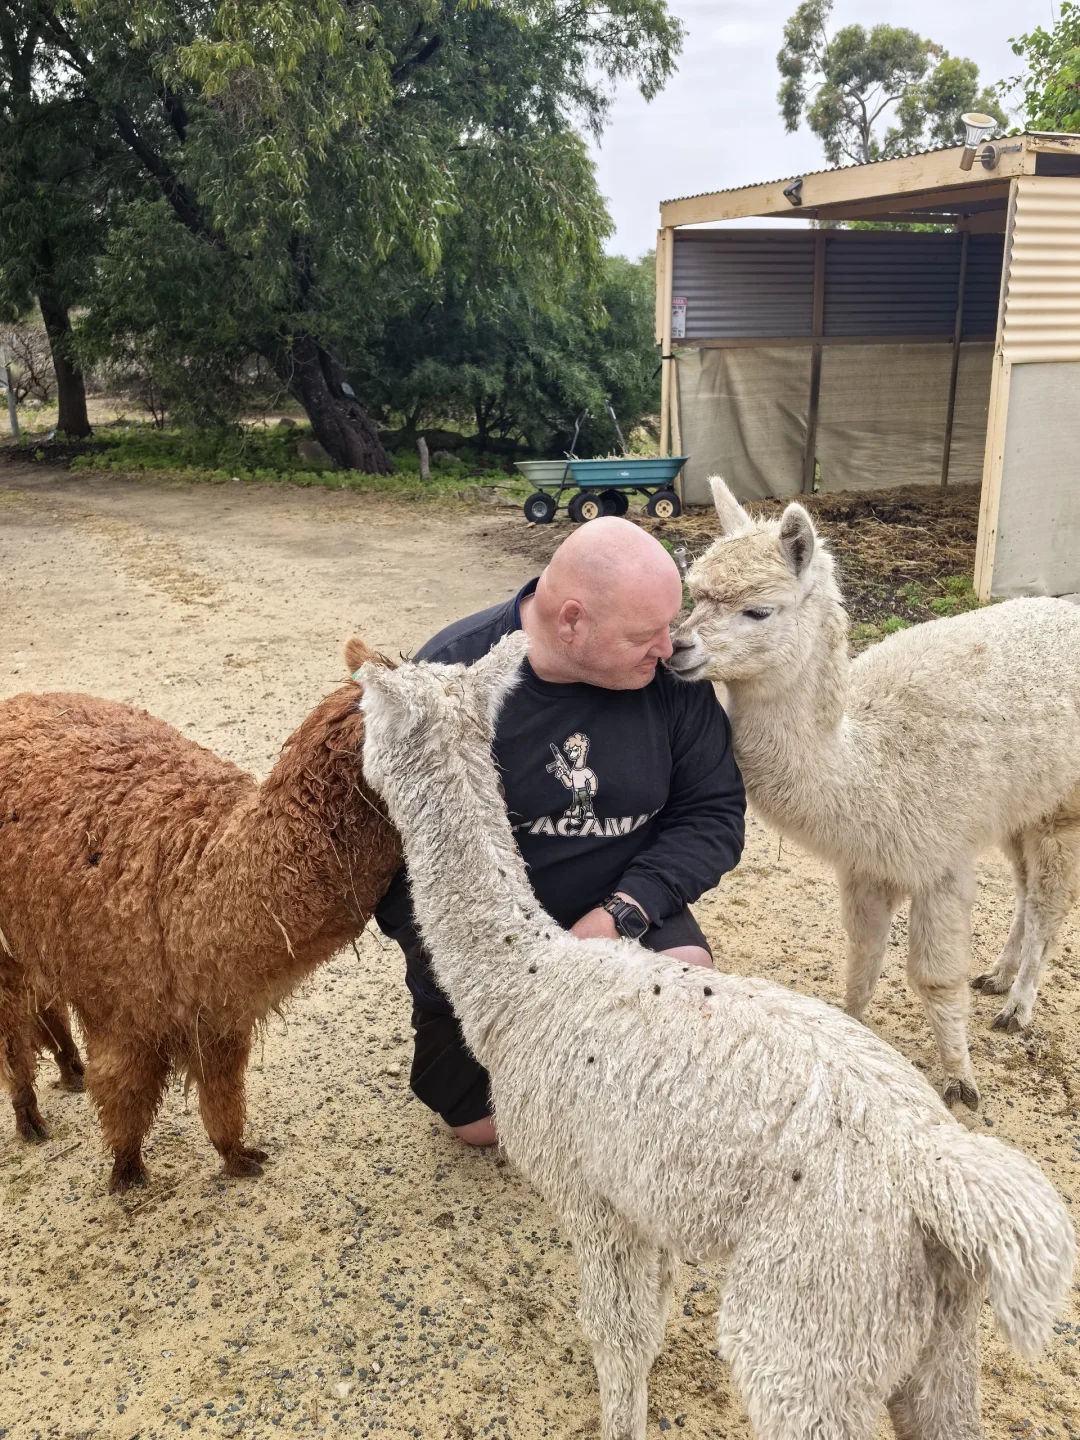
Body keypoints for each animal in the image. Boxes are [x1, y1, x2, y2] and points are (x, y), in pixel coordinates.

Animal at [0, 640, 399, 1190]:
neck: (201, 875)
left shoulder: (216, 1017)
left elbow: (222, 1096)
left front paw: (238, 1157)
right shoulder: (127, 1013)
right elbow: (123, 1095)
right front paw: (126, 1173)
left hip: (35, 932)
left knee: (45, 1001)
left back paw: (68, 1068)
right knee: (13, 1032)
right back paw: (29, 1117)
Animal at [357, 631, 1075, 1440]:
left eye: (361, 718)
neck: (528, 981)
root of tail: (936, 1169)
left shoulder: (591, 1195)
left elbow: (618, 1334)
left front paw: (621, 1422)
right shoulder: (642, 1197)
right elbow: (651, 1316)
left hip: (815, 1317)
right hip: (933, 1332)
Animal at [667, 477, 1080, 1109]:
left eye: (757, 609)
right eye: (694, 594)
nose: (677, 648)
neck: (869, 765)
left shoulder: (939, 864)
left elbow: (934, 978)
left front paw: (960, 1079)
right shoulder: (867, 867)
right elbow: (863, 957)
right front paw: (851, 1029)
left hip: (1063, 808)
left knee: (1048, 905)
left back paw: (1018, 1006)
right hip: (1019, 809)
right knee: (1025, 890)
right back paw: (998, 974)